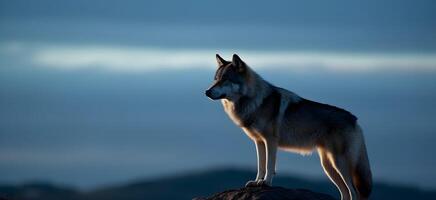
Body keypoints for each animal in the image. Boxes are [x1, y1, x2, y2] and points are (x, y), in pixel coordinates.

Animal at [204, 54, 372, 200]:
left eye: (225, 80)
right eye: (215, 79)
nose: (206, 91)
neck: (254, 101)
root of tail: (355, 120)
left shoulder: (270, 141)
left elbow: (269, 165)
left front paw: (266, 183)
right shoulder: (259, 142)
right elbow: (260, 165)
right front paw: (257, 182)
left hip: (339, 164)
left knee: (354, 192)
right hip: (328, 166)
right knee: (345, 192)